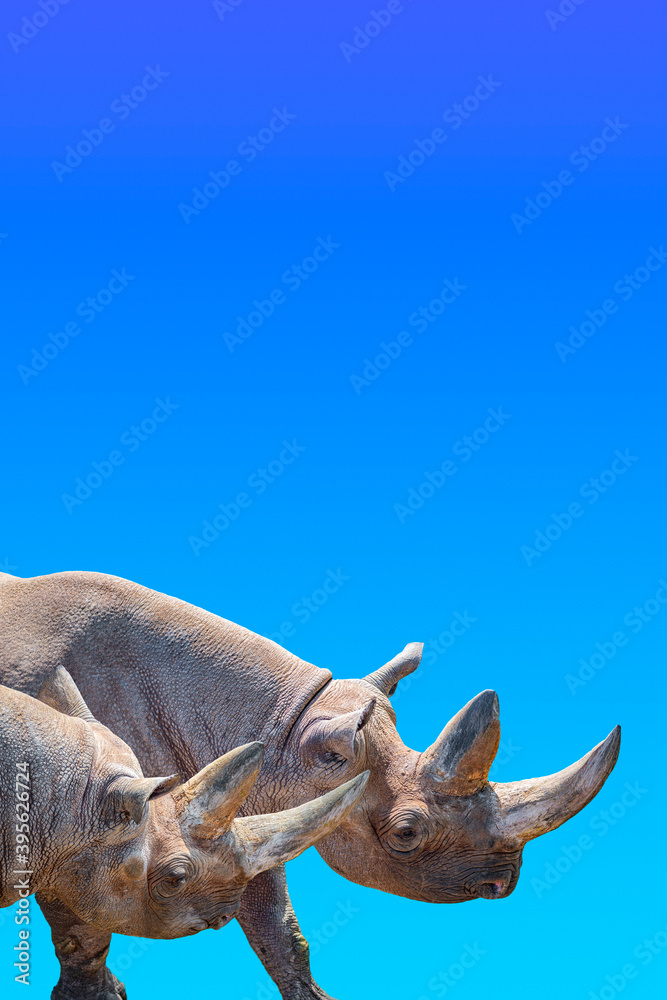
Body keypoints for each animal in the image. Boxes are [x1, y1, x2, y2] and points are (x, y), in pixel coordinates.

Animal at [0, 570, 621, 999]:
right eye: (406, 834)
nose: (504, 883)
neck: (282, 726)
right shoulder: (77, 817)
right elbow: (83, 927)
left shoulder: (236, 804)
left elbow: (275, 923)